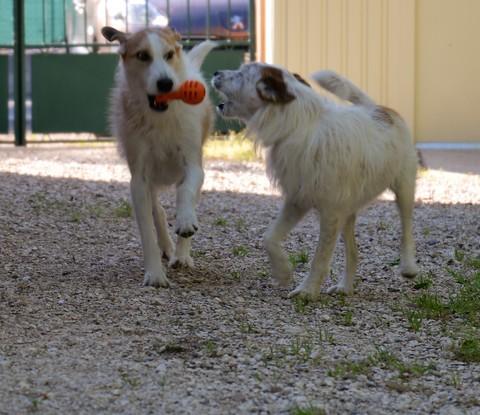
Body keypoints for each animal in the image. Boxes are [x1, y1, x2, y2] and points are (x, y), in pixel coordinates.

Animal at [103, 25, 216, 286]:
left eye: (169, 55)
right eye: (142, 56)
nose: (165, 83)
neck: (161, 117)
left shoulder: (193, 164)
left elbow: (186, 190)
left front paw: (184, 222)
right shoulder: (139, 179)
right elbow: (147, 228)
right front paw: (154, 274)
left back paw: (181, 255)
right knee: (158, 210)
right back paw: (167, 246)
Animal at [212, 64, 418, 300]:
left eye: (242, 73)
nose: (215, 72)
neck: (298, 124)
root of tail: (379, 108)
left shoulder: (330, 213)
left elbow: (320, 257)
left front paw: (307, 290)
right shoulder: (297, 200)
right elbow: (269, 237)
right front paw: (283, 271)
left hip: (404, 189)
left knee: (406, 230)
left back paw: (408, 266)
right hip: (347, 213)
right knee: (353, 252)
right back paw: (345, 287)